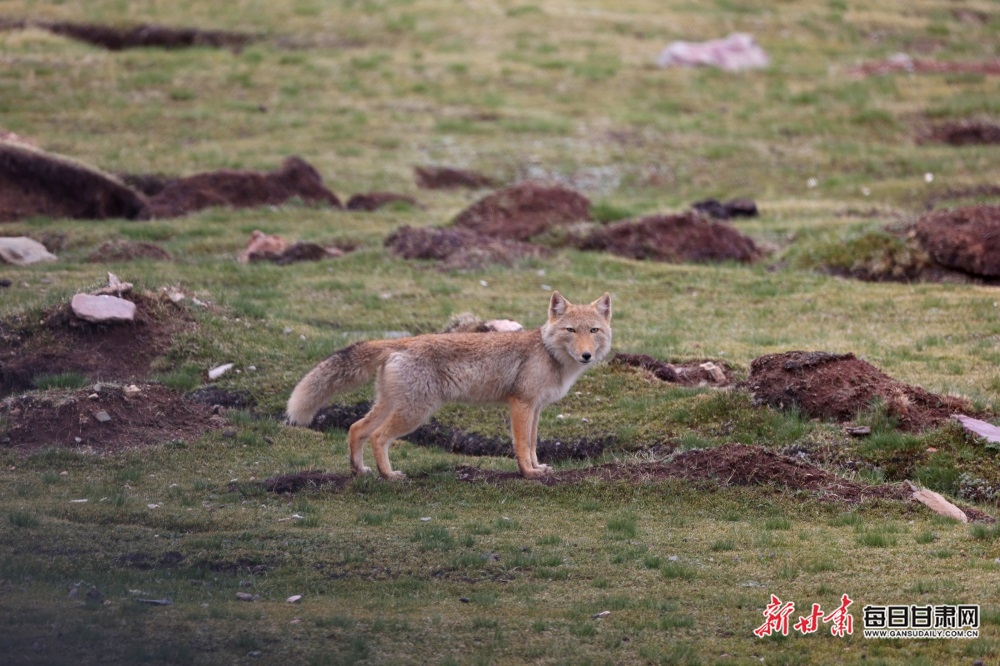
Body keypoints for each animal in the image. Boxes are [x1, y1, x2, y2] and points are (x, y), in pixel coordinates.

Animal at [286, 290, 612, 478]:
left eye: (594, 330)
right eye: (571, 330)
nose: (586, 355)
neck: (548, 352)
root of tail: (400, 342)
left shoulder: (536, 408)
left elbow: (532, 443)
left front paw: (537, 467)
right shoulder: (521, 404)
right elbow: (521, 444)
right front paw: (528, 474)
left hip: (392, 406)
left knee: (356, 429)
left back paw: (360, 471)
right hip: (415, 413)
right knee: (378, 437)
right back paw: (389, 476)